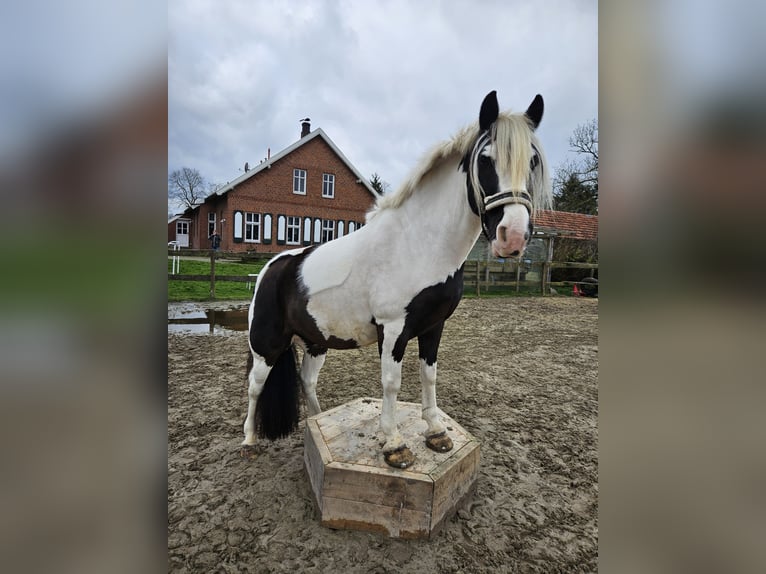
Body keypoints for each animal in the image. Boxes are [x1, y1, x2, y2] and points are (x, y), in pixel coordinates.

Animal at [243, 90, 548, 468]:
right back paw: (249, 440)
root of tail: (271, 268)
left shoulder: (434, 326)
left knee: (307, 380)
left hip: (317, 342)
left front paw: (436, 431)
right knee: (255, 386)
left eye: (532, 161)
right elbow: (391, 382)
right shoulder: (393, 329)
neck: (417, 243)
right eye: (486, 160)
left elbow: (429, 375)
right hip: (266, 345)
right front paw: (394, 443)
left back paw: (316, 421)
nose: (513, 236)